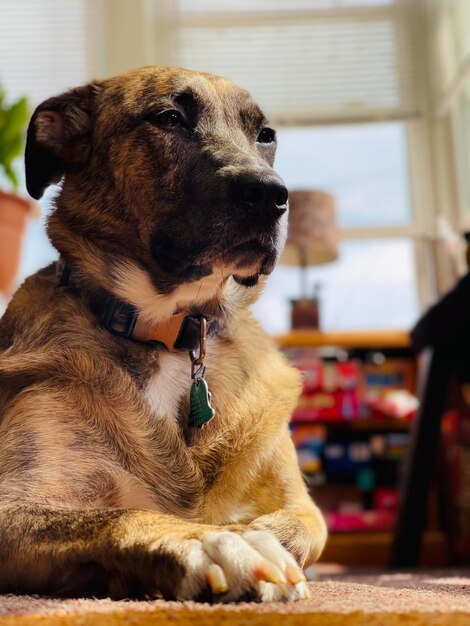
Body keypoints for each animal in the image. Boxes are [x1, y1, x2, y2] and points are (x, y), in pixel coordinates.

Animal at [0, 67, 324, 600]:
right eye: (169, 118)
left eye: (265, 134)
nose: (271, 194)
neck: (171, 332)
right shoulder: (17, 500)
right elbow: (121, 515)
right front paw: (216, 542)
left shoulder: (300, 505)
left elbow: (291, 528)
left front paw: (247, 535)